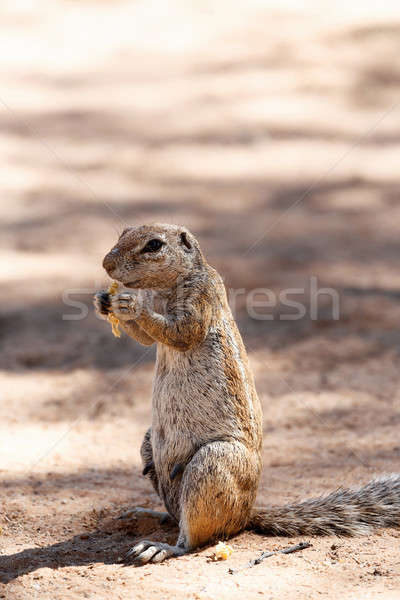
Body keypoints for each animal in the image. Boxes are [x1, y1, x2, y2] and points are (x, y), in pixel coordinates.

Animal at [94, 223, 400, 564]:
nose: (107, 264)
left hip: (215, 461)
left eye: (154, 245)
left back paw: (161, 546)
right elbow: (147, 339)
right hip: (151, 444)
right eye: (124, 232)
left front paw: (130, 305)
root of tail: (247, 515)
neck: (163, 288)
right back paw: (149, 513)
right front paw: (102, 301)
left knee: (196, 536)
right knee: (174, 510)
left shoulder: (202, 297)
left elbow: (182, 332)